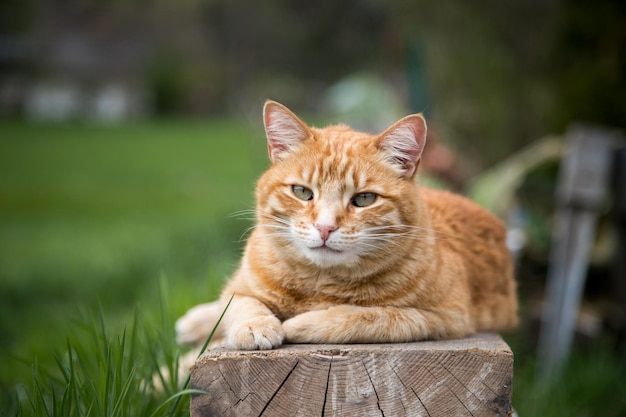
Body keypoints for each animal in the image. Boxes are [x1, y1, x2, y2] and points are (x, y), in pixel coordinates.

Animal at [176, 100, 516, 348]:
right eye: (302, 192)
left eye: (364, 199)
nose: (325, 228)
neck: (317, 283)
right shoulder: (242, 288)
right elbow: (241, 303)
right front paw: (256, 325)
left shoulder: (442, 318)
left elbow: (364, 318)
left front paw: (299, 323)